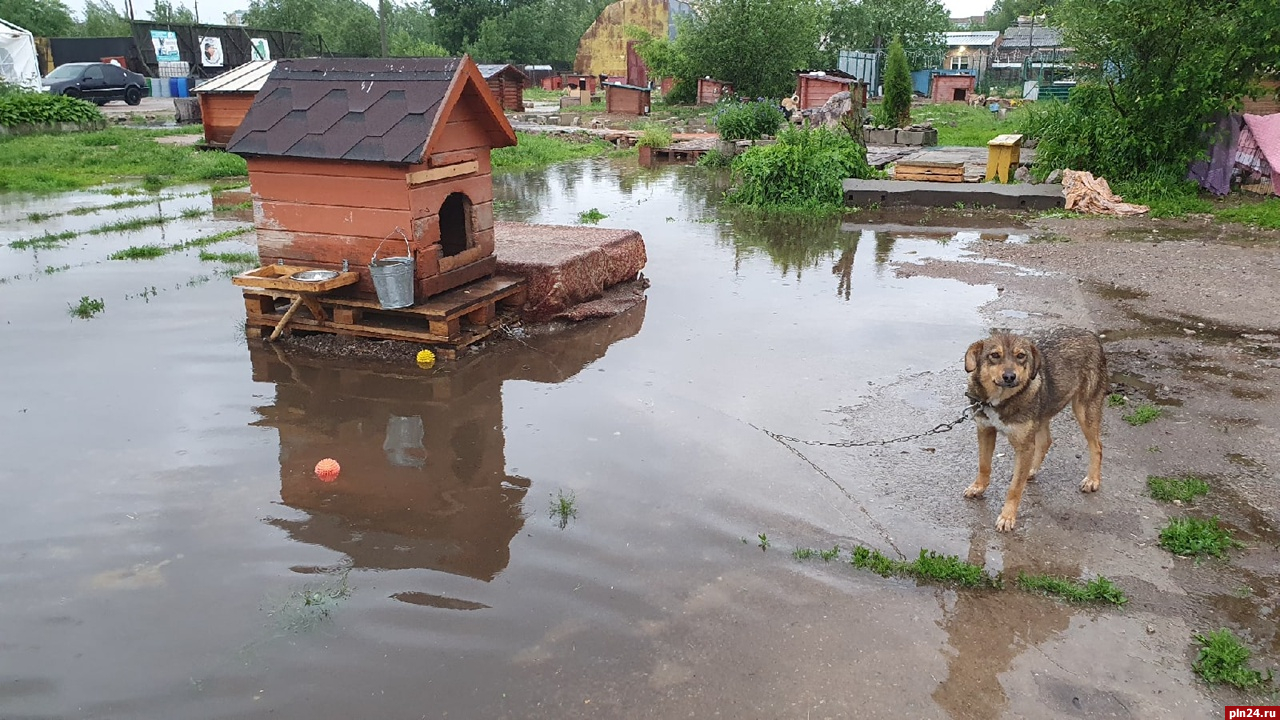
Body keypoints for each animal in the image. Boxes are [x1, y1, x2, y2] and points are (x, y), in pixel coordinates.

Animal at [962, 327, 1105, 530]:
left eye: (1021, 356)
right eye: (995, 355)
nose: (1010, 377)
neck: (1001, 399)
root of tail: (1091, 335)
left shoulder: (1024, 446)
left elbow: (1014, 488)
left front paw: (1007, 517)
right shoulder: (985, 430)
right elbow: (984, 464)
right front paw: (978, 487)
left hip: (1084, 409)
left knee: (1097, 447)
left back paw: (1092, 480)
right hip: (1042, 413)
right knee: (1046, 441)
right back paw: (1030, 470)